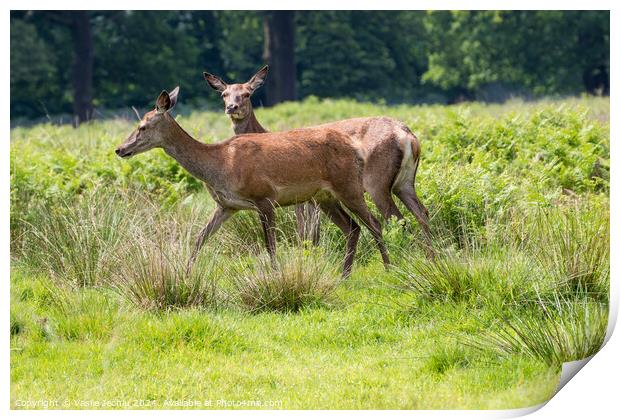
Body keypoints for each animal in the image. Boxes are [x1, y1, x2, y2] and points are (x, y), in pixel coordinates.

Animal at [115, 87, 388, 278]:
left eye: (142, 126)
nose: (120, 149)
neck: (220, 165)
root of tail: (356, 149)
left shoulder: (264, 197)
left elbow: (270, 245)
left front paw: (276, 277)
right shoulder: (227, 205)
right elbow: (200, 238)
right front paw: (184, 275)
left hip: (349, 186)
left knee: (374, 223)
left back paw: (388, 268)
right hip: (324, 196)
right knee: (353, 228)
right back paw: (344, 276)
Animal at [206, 66, 434, 256]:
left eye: (247, 93)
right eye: (224, 94)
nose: (232, 107)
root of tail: (408, 136)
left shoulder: (300, 196)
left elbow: (304, 232)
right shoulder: (313, 198)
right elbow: (313, 233)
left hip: (375, 182)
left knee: (397, 218)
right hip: (404, 182)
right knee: (422, 212)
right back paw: (431, 256)